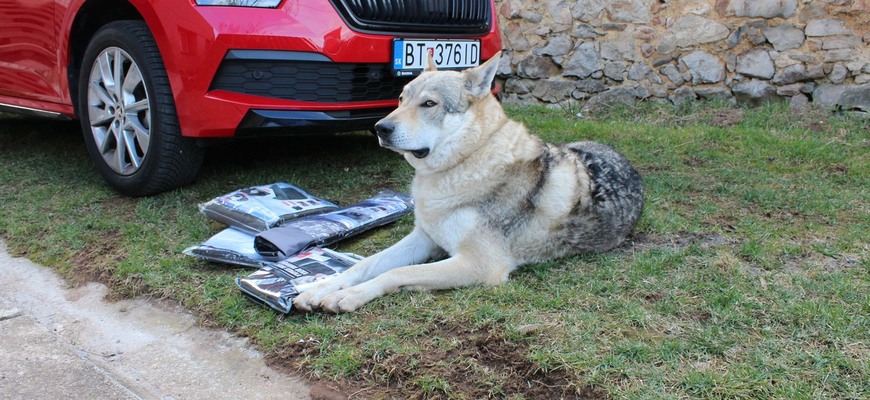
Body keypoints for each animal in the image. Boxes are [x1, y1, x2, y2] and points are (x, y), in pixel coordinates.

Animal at [296, 50, 644, 312]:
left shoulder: (479, 264)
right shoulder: (423, 239)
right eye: (400, 99)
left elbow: (395, 272)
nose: (380, 128)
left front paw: (347, 296)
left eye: (429, 104)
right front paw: (321, 286)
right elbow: (363, 265)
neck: (460, 165)